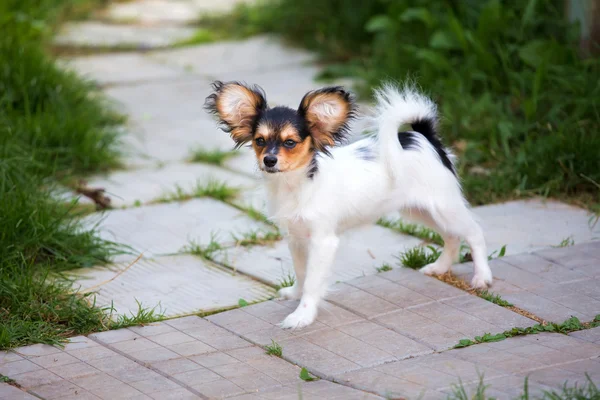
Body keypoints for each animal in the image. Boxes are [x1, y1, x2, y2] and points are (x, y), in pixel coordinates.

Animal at [204, 80, 490, 328]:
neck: (296, 186)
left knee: (474, 233)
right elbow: (301, 272)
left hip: (443, 206)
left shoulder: (323, 241)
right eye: (260, 141)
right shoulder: (296, 238)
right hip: (419, 211)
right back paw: (440, 267)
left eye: (290, 142)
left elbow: (313, 281)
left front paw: (302, 316)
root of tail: (423, 137)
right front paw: (295, 295)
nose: (269, 160)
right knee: (452, 236)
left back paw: (482, 277)